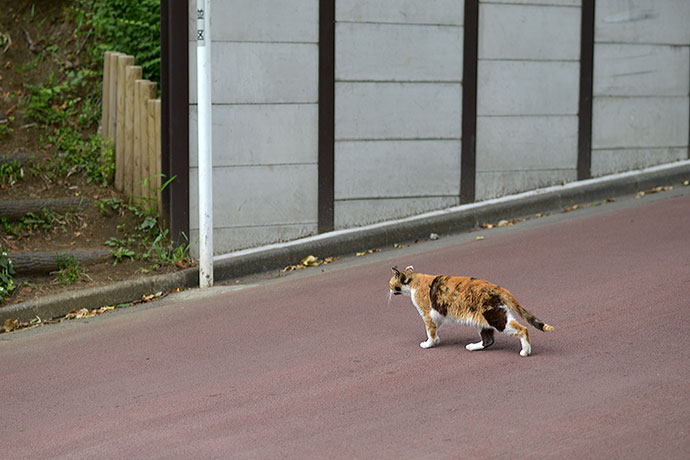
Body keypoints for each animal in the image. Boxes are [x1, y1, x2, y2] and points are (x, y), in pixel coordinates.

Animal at [388, 266, 552, 356]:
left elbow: (430, 330)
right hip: (483, 320)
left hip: (495, 317)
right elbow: (434, 329)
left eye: (390, 283)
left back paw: (525, 352)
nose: (388, 290)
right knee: (488, 340)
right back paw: (472, 347)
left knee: (523, 329)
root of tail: (498, 288)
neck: (414, 280)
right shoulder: (438, 315)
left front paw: (429, 344)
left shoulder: (427, 314)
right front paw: (436, 340)